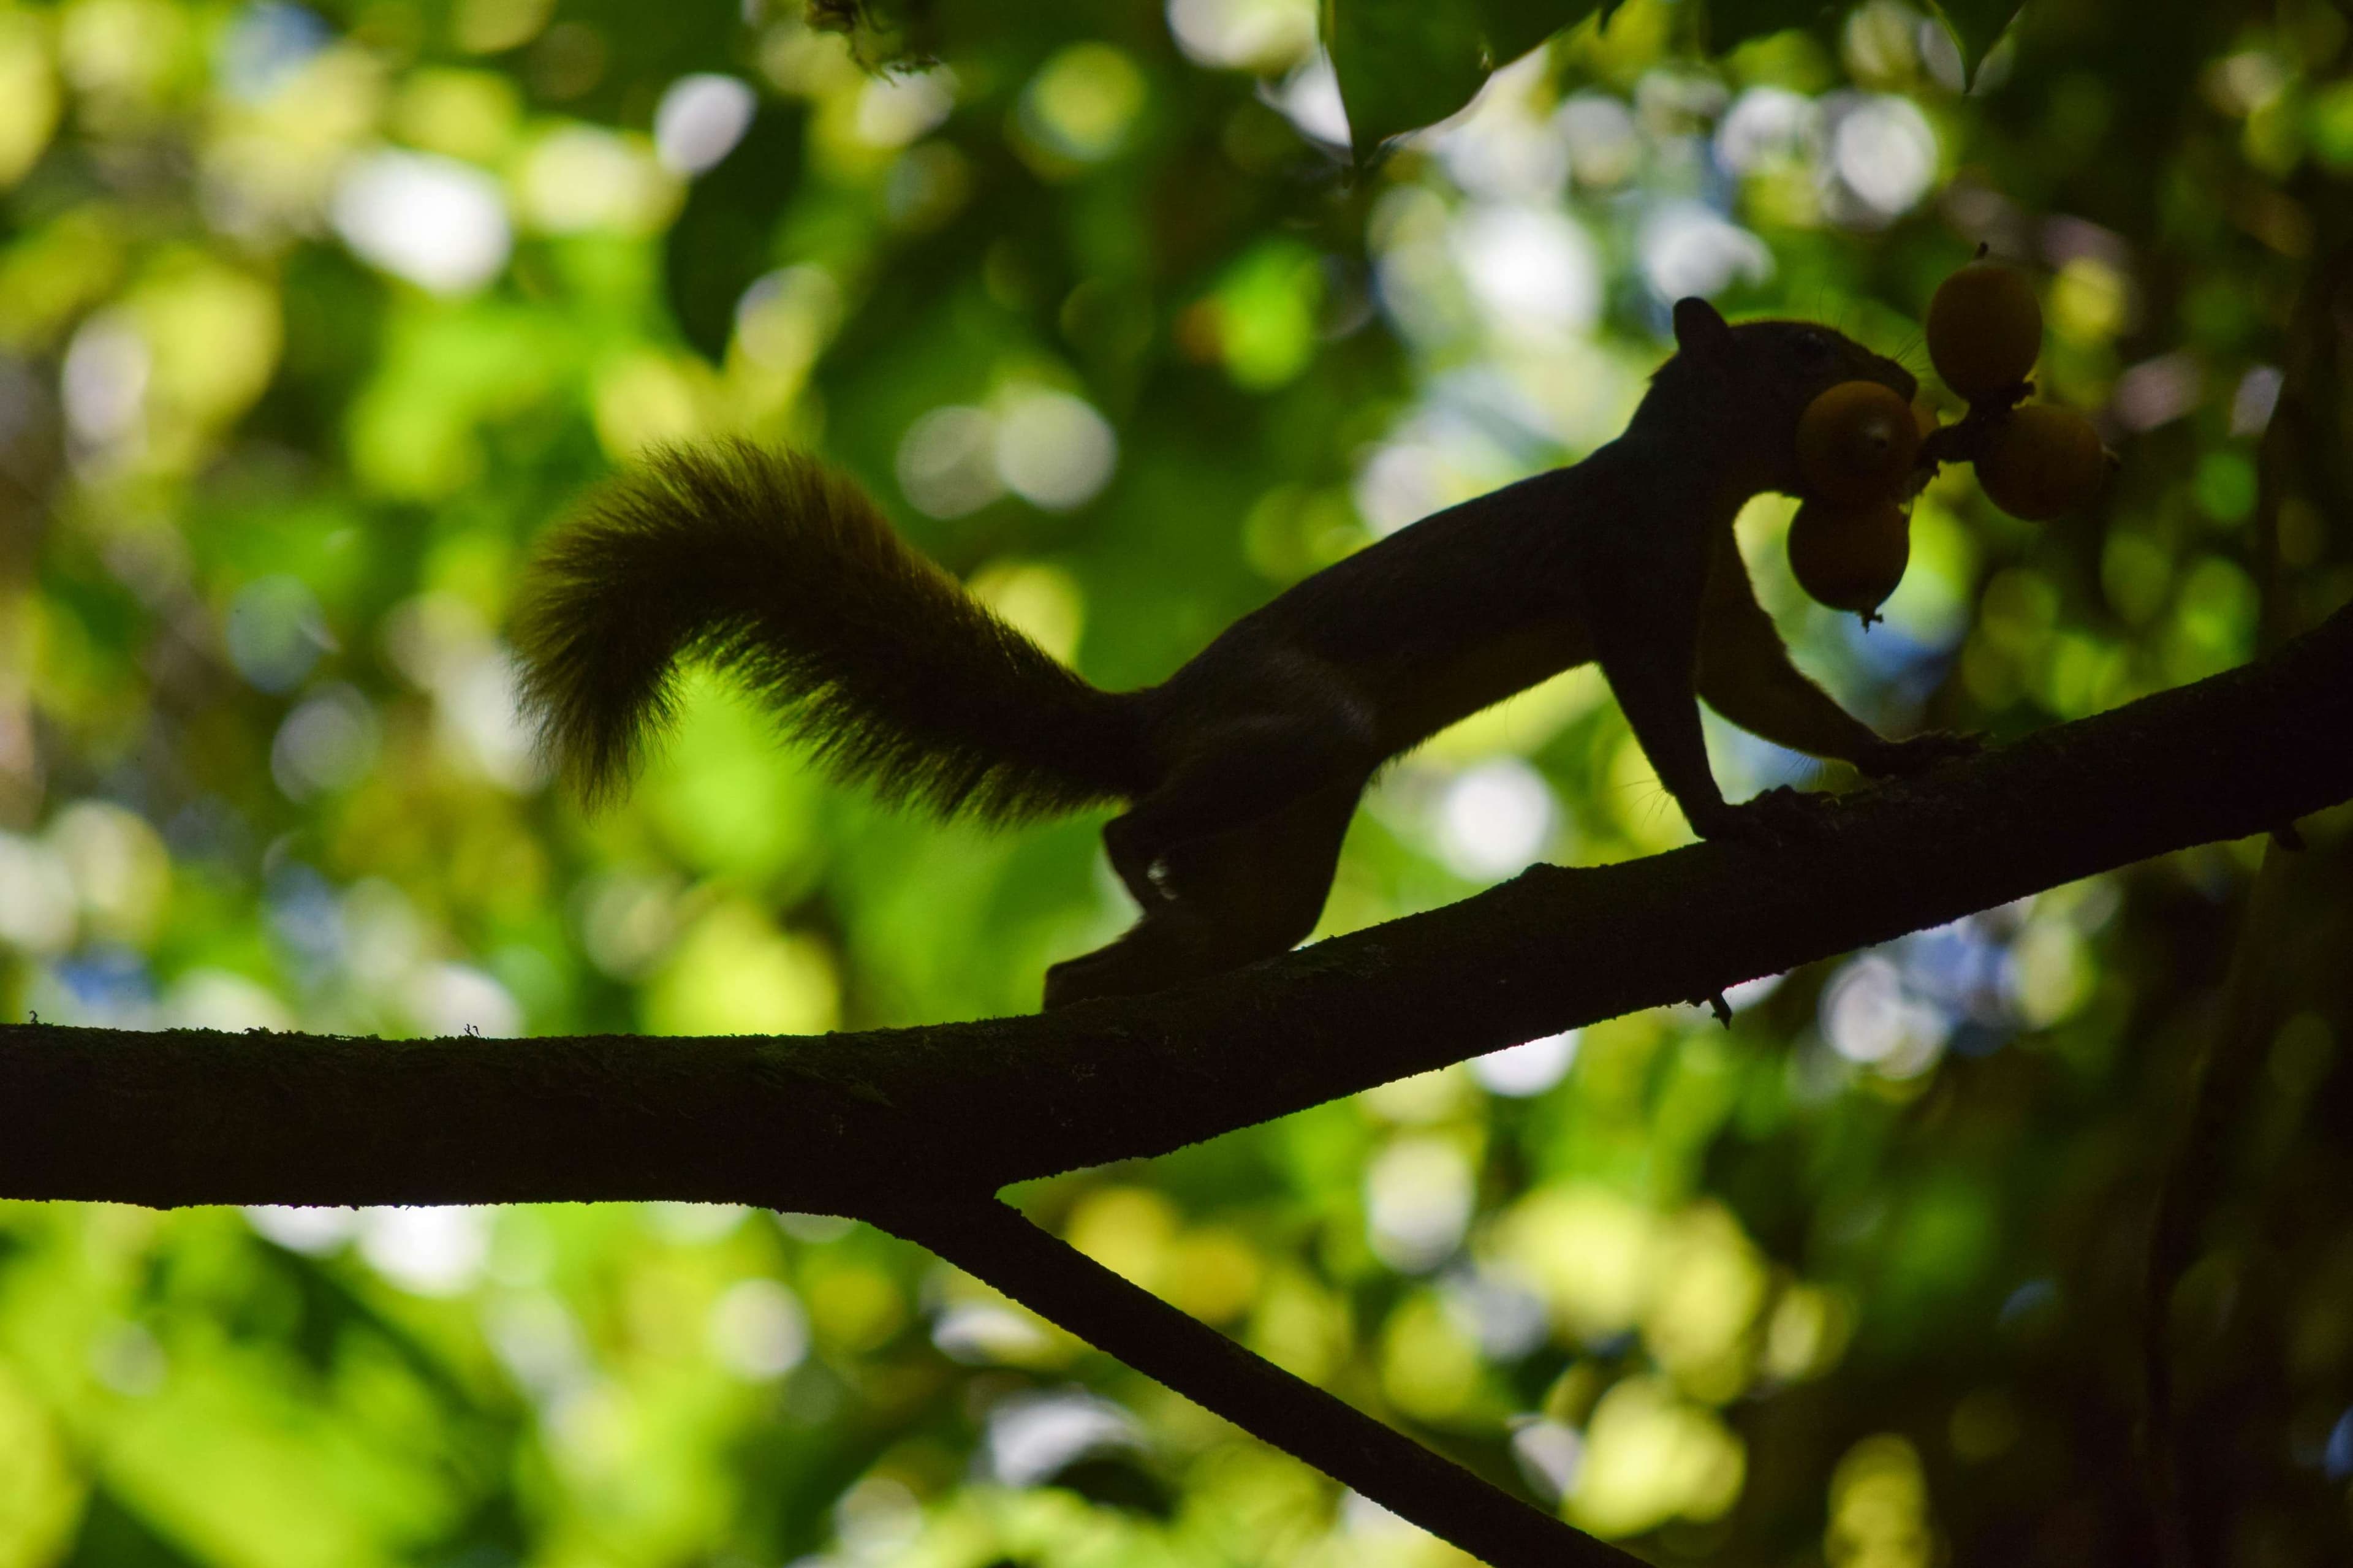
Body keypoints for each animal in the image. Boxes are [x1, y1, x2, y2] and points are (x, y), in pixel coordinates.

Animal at [512, 298, 1973, 1010]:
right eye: (1805, 351)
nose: (1905, 386)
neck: (1696, 481)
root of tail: (1154, 717)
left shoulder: (1716, 597)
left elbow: (1763, 688)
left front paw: (1900, 751)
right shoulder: (1628, 564)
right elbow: (1670, 711)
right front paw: (1731, 821)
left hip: (1275, 858)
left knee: (1183, 938)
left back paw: (1104, 992)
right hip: (1298, 728)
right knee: (1135, 828)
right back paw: (1131, 878)